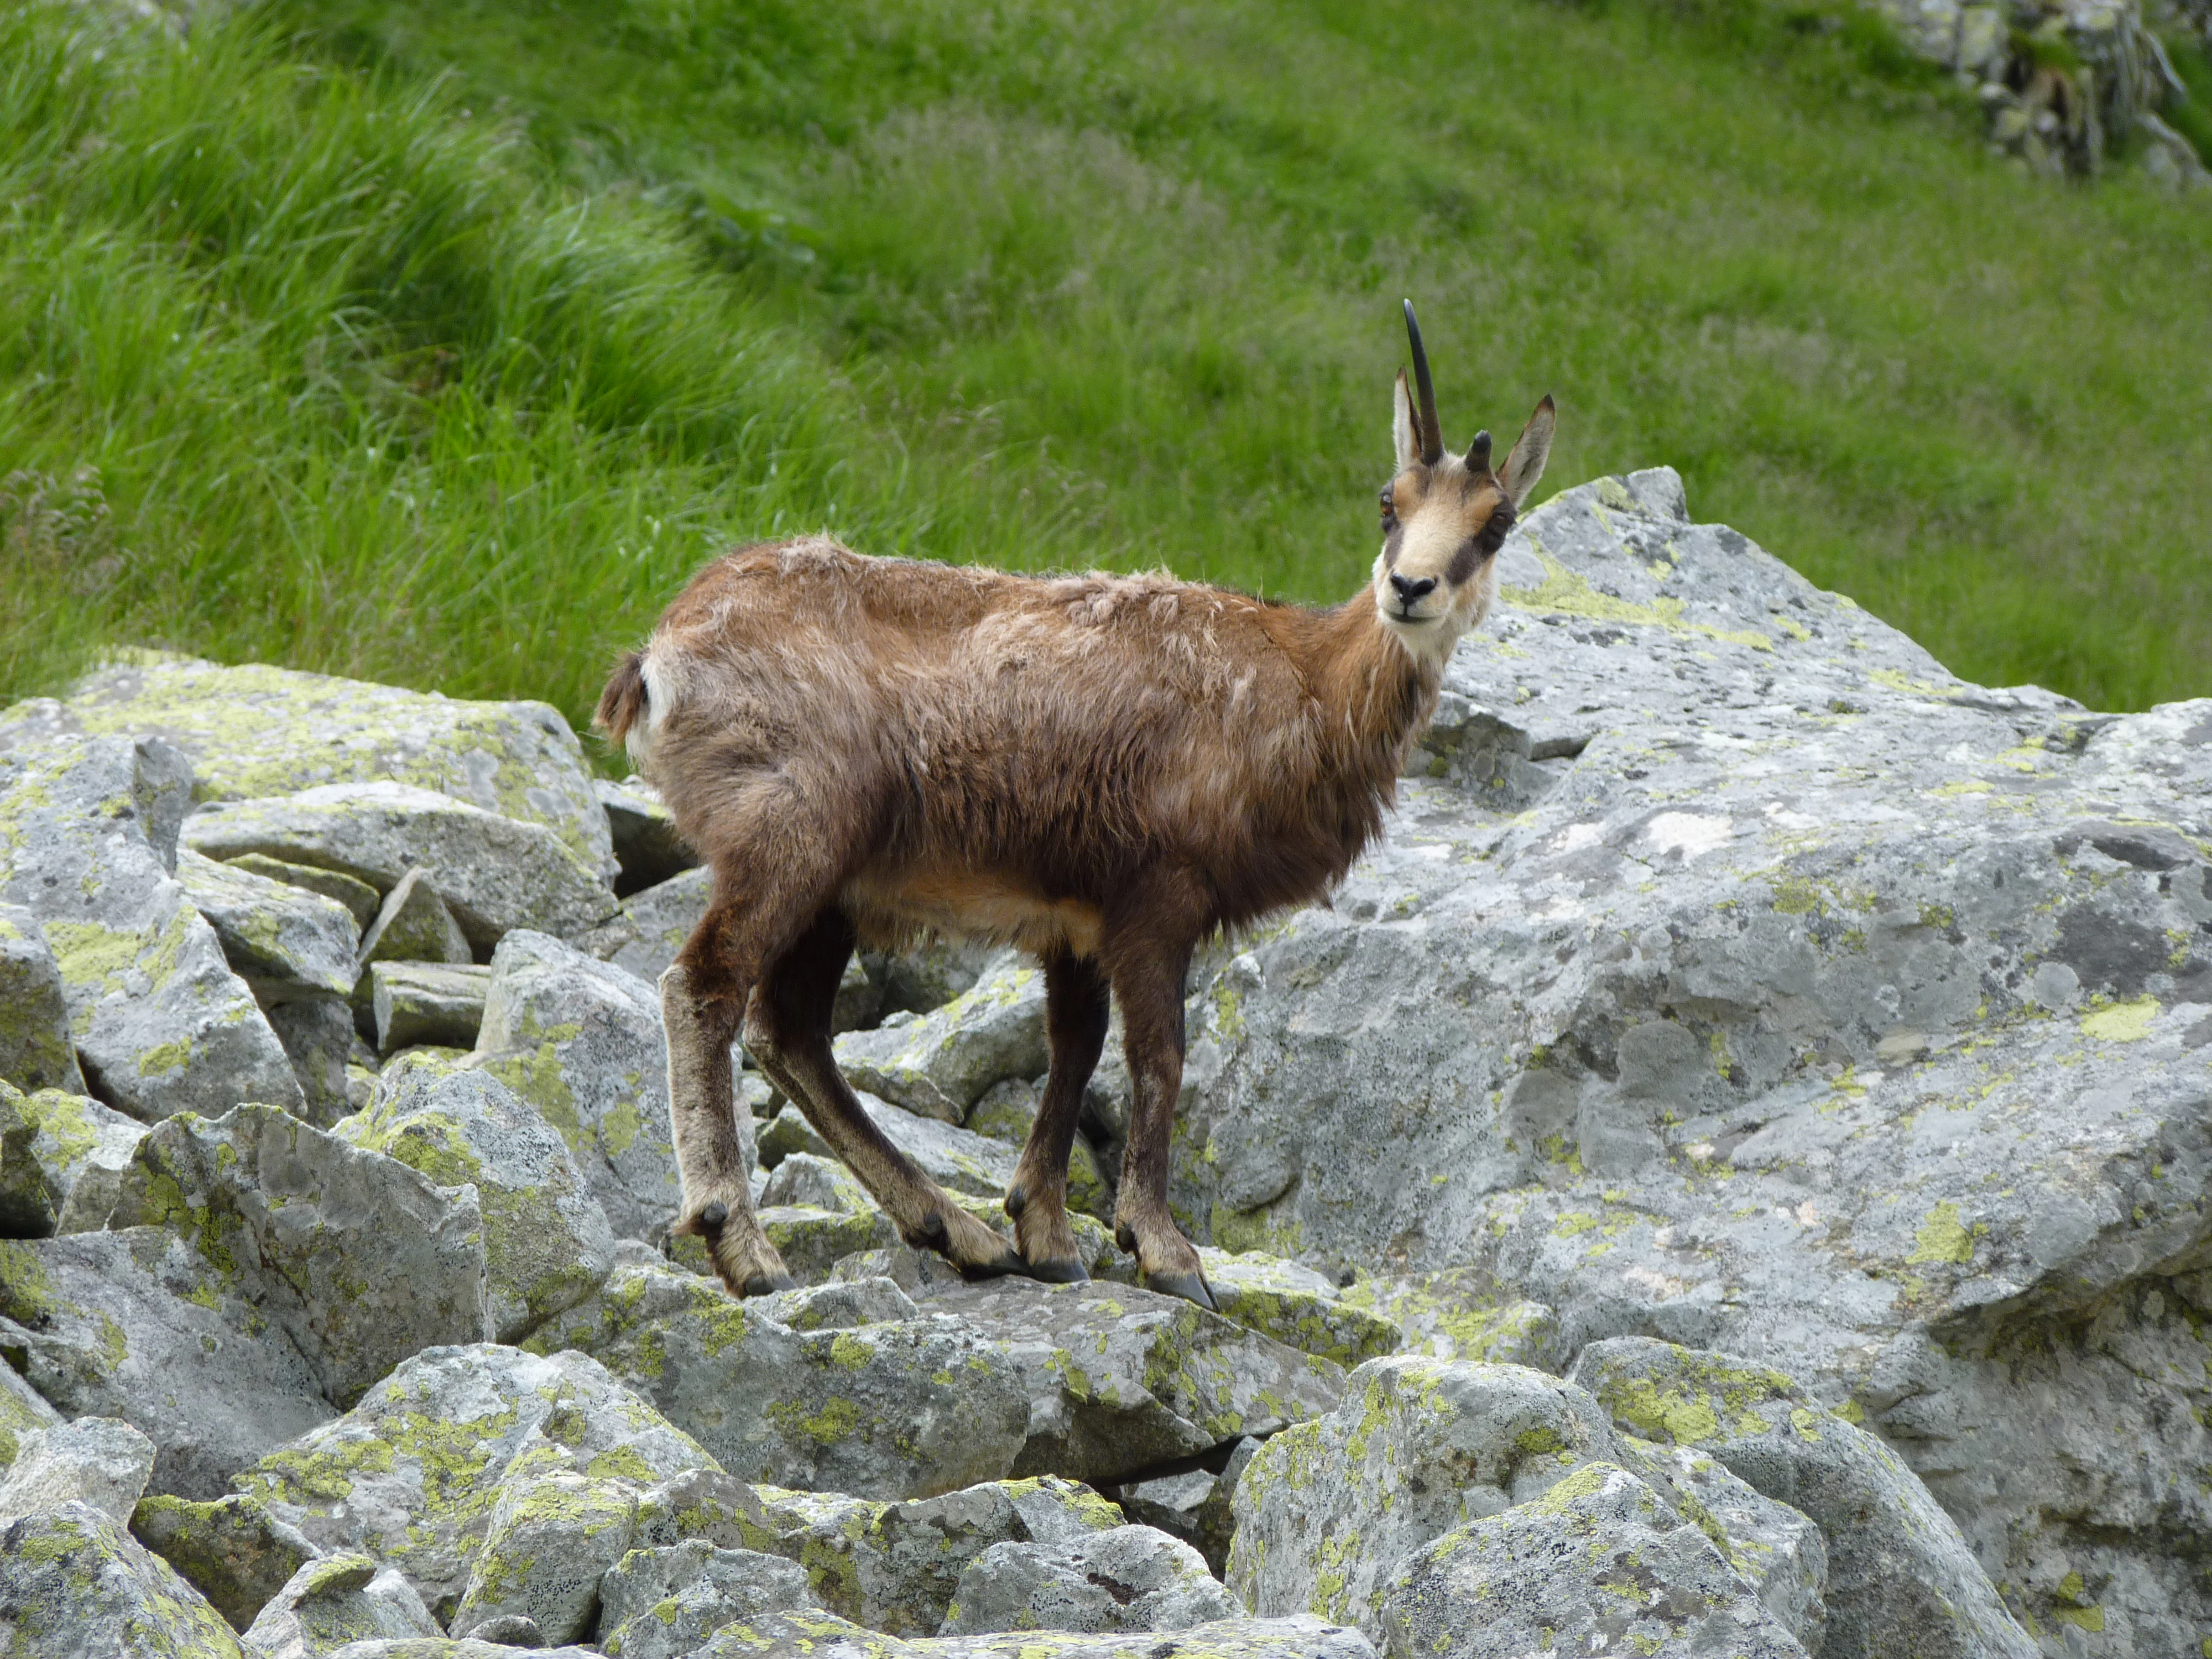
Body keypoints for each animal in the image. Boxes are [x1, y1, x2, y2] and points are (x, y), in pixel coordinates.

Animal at [598, 303, 1553, 1307]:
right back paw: (744, 1242)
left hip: (835, 888)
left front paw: (1047, 1232)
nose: (1410, 589)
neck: (1304, 683)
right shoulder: (1159, 894)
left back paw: (956, 1229)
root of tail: (660, 657)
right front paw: (1165, 1250)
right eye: (1388, 502)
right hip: (791, 837)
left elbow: (1075, 1049)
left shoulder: (1078, 921)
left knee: (792, 1031)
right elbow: (1157, 1058)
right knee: (706, 987)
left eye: (1498, 523)